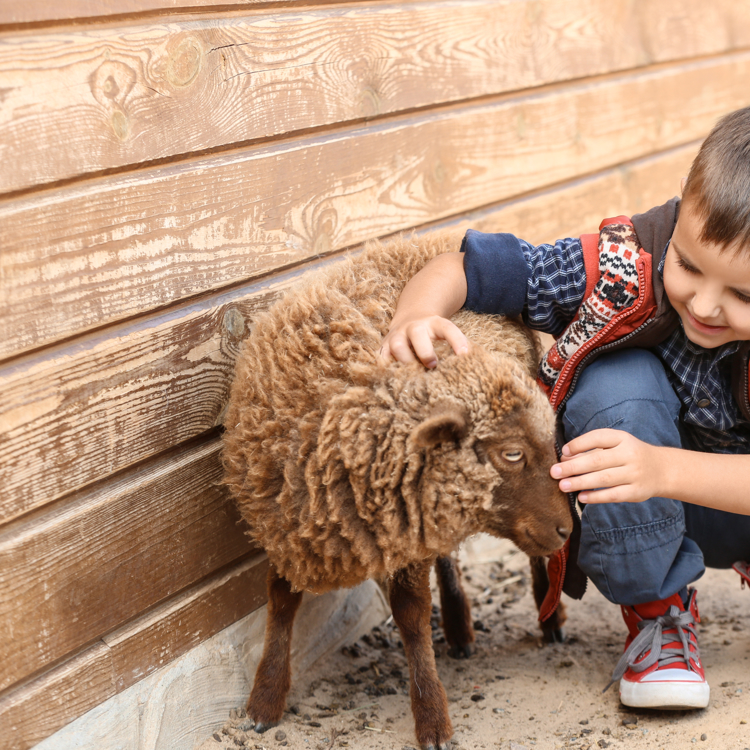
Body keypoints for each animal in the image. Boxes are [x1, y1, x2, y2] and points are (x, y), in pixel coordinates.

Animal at [220, 232, 572, 750]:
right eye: (511, 453)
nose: (569, 529)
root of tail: (436, 238)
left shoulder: (399, 526)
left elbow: (409, 616)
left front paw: (432, 719)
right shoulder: (288, 520)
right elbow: (280, 602)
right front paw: (264, 702)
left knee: (526, 559)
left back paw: (548, 619)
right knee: (448, 555)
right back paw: (460, 627)